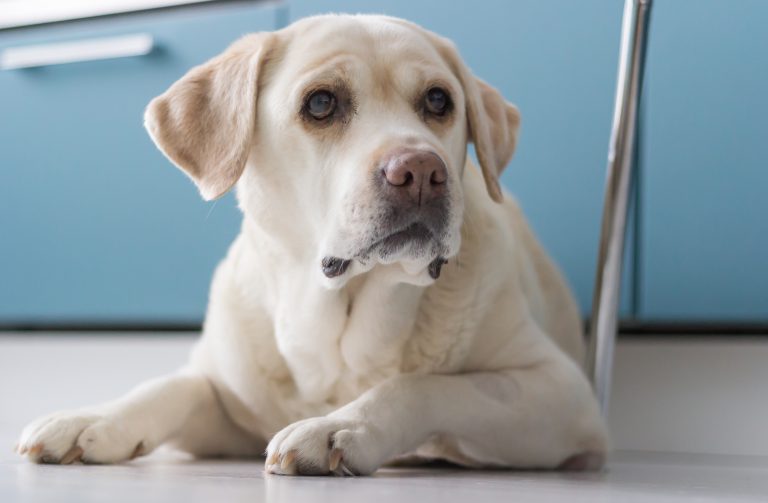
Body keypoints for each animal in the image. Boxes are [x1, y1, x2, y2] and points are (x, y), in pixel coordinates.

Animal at [15, 12, 608, 476]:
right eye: (321, 103)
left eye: (439, 100)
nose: (421, 171)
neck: (338, 324)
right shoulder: (229, 406)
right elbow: (173, 385)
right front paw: (92, 419)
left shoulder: (563, 391)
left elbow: (420, 385)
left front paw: (338, 428)